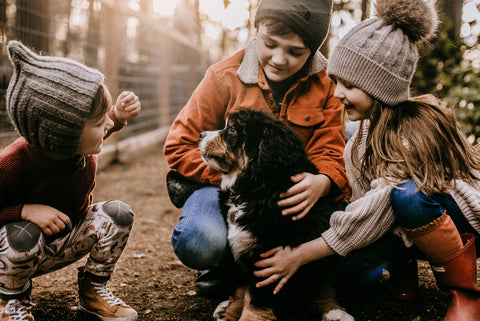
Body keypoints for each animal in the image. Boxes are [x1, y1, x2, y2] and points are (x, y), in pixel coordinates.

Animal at [199, 109, 352, 318]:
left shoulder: (269, 257)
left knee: (325, 286)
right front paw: (229, 314)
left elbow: (256, 300)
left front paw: (248, 317)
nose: (201, 135)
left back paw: (335, 312)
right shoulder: (238, 248)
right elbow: (238, 290)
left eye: (232, 130)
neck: (256, 189)